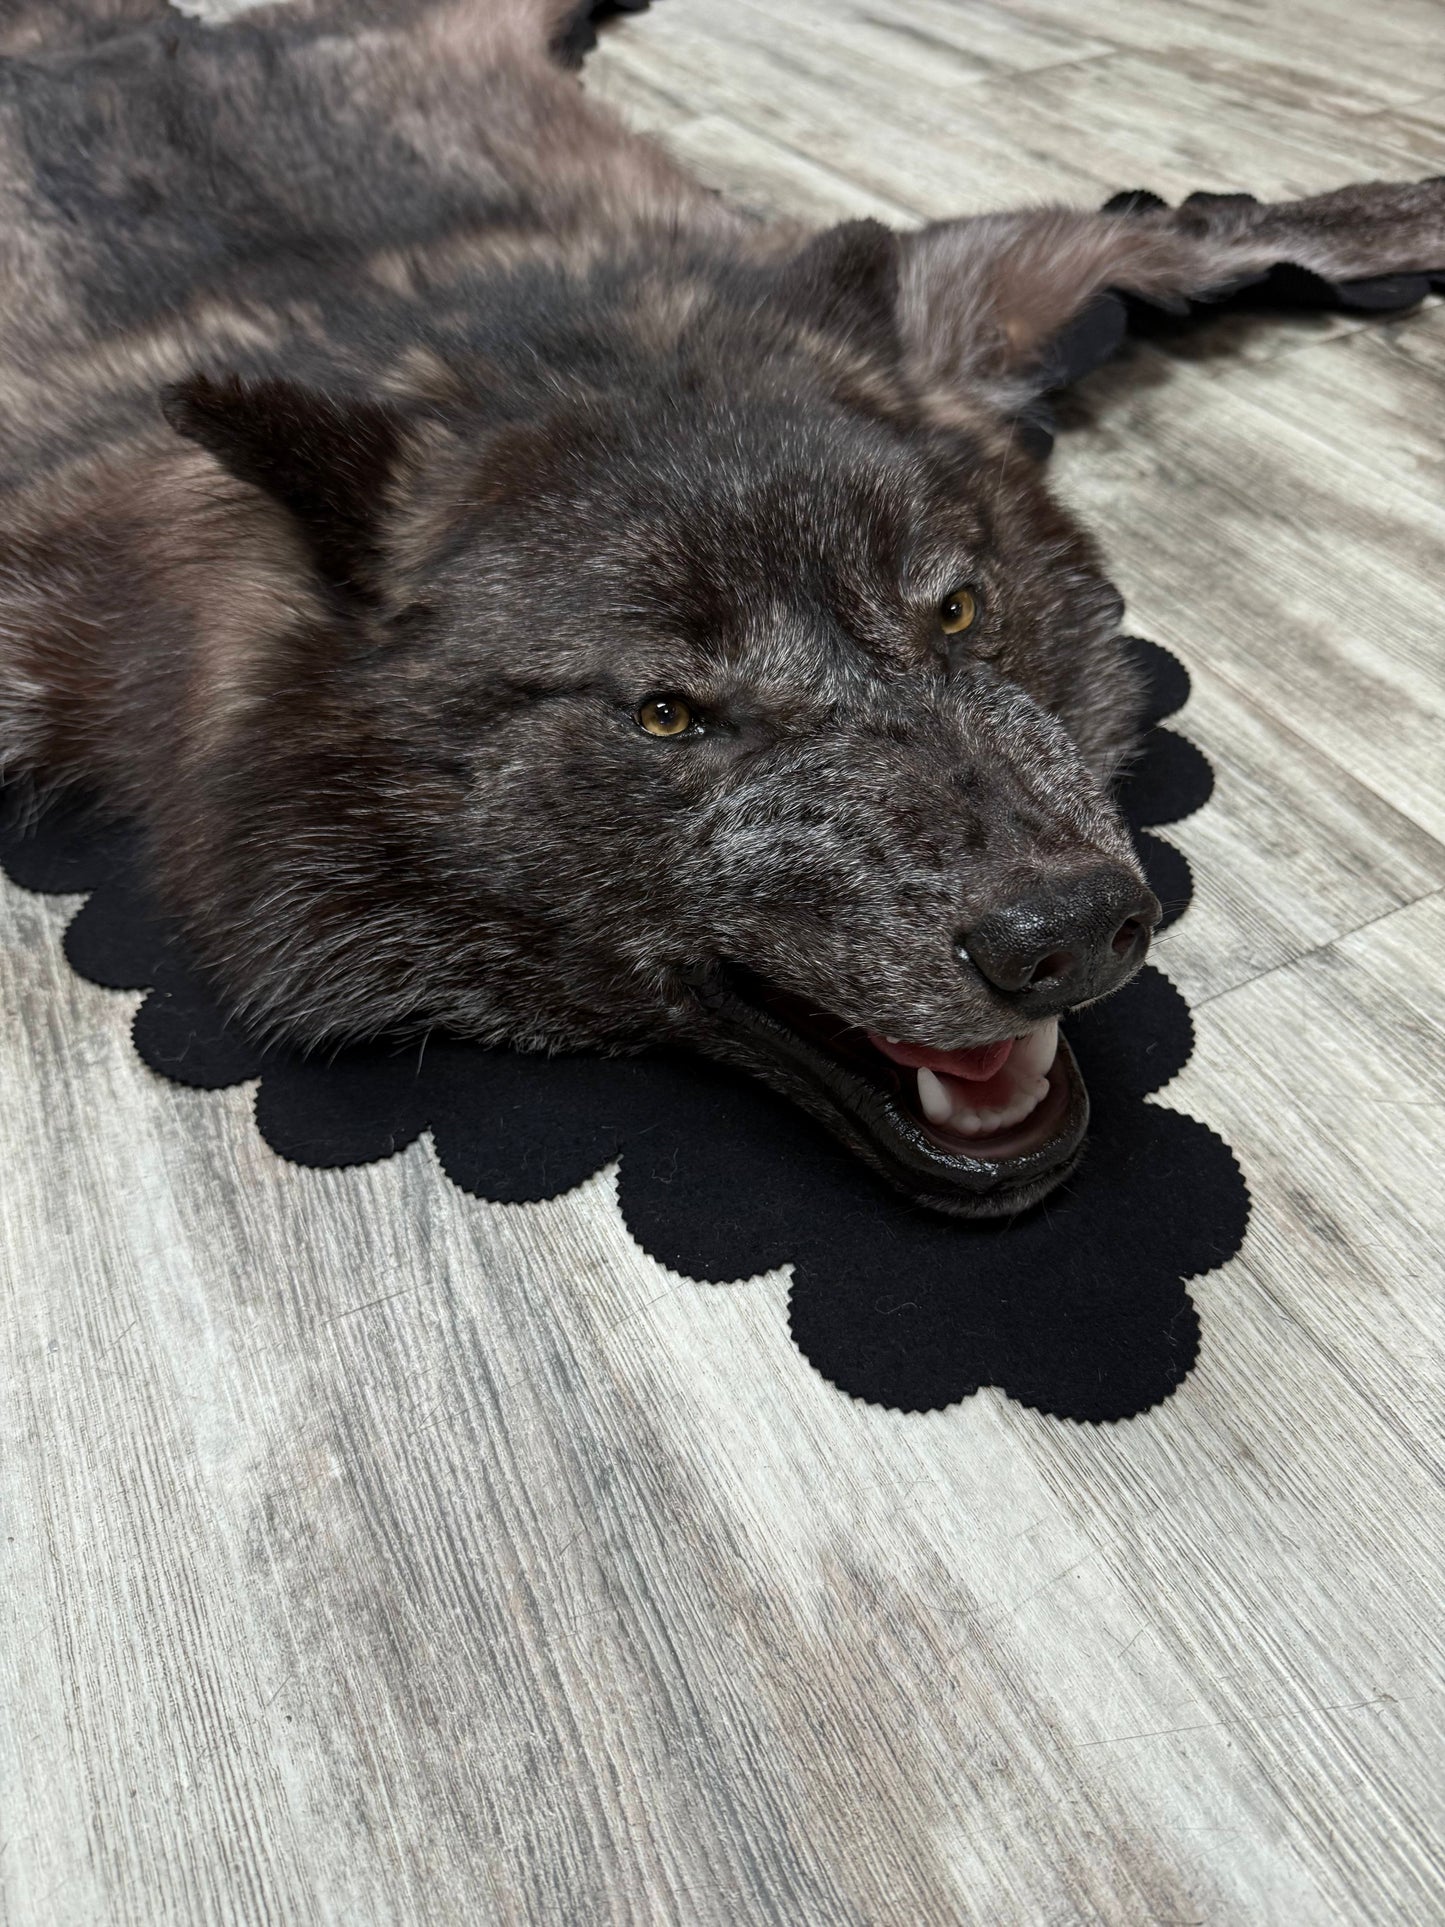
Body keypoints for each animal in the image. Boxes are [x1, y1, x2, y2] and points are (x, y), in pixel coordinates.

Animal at [0, 0, 1439, 1216]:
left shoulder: (939, 301)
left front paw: (1394, 216)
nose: (1073, 934)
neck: (516, 344)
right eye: (664, 713)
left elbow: (1175, 228)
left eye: (956, 610)